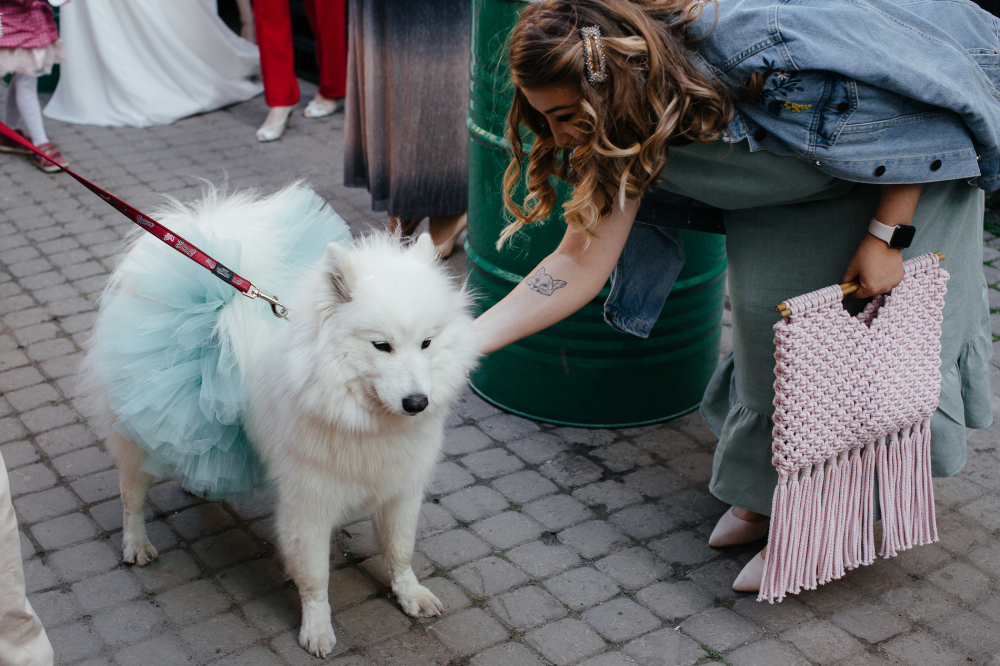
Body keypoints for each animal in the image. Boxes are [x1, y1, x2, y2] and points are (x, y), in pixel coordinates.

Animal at [80, 185, 478, 652]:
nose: (417, 402)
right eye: (382, 346)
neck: (359, 417)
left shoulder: (400, 490)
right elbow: (315, 577)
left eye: (427, 343)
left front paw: (410, 593)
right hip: (138, 436)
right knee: (132, 495)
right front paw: (318, 629)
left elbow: (400, 551)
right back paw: (137, 543)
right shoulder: (308, 504)